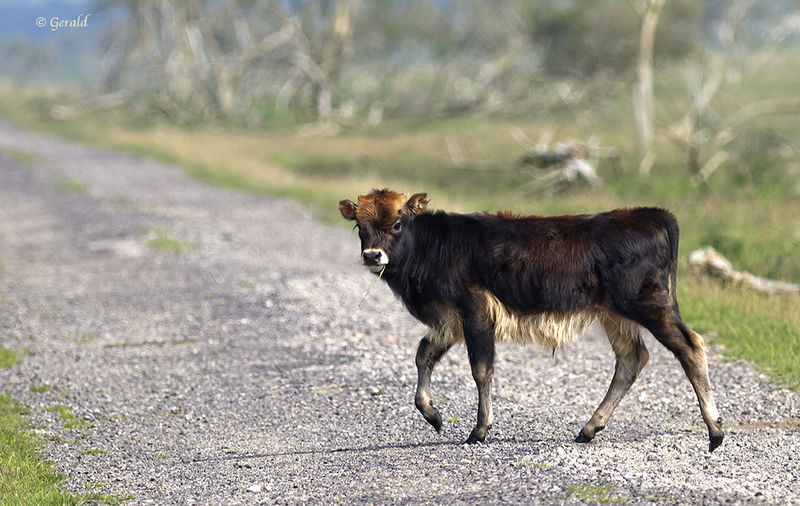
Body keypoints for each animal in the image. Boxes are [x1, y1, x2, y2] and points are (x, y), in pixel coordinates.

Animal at [339, 188, 724, 452]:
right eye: (360, 225)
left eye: (397, 222)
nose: (372, 255)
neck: (435, 245)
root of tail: (652, 215)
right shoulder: (449, 319)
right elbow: (423, 355)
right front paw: (432, 414)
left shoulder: (475, 311)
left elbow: (481, 369)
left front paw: (479, 430)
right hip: (614, 314)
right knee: (632, 359)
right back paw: (589, 427)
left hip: (650, 305)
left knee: (691, 346)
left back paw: (715, 431)